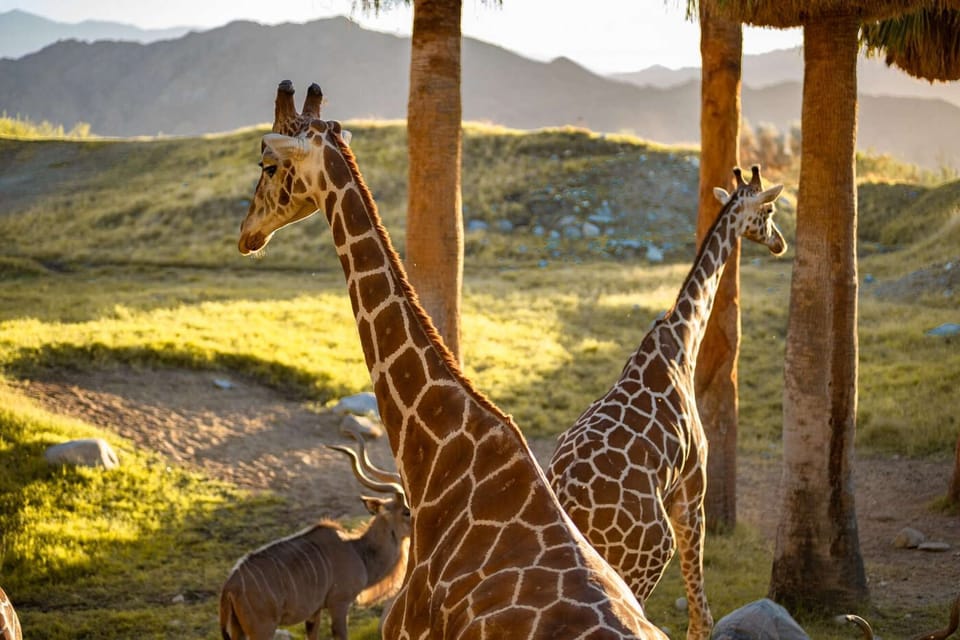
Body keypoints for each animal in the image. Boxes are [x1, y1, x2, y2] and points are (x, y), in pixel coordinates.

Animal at [547, 166, 786, 640]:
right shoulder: (692, 489)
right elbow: (701, 615)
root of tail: (569, 506)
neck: (681, 340)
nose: (780, 243)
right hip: (647, 554)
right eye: (768, 210)